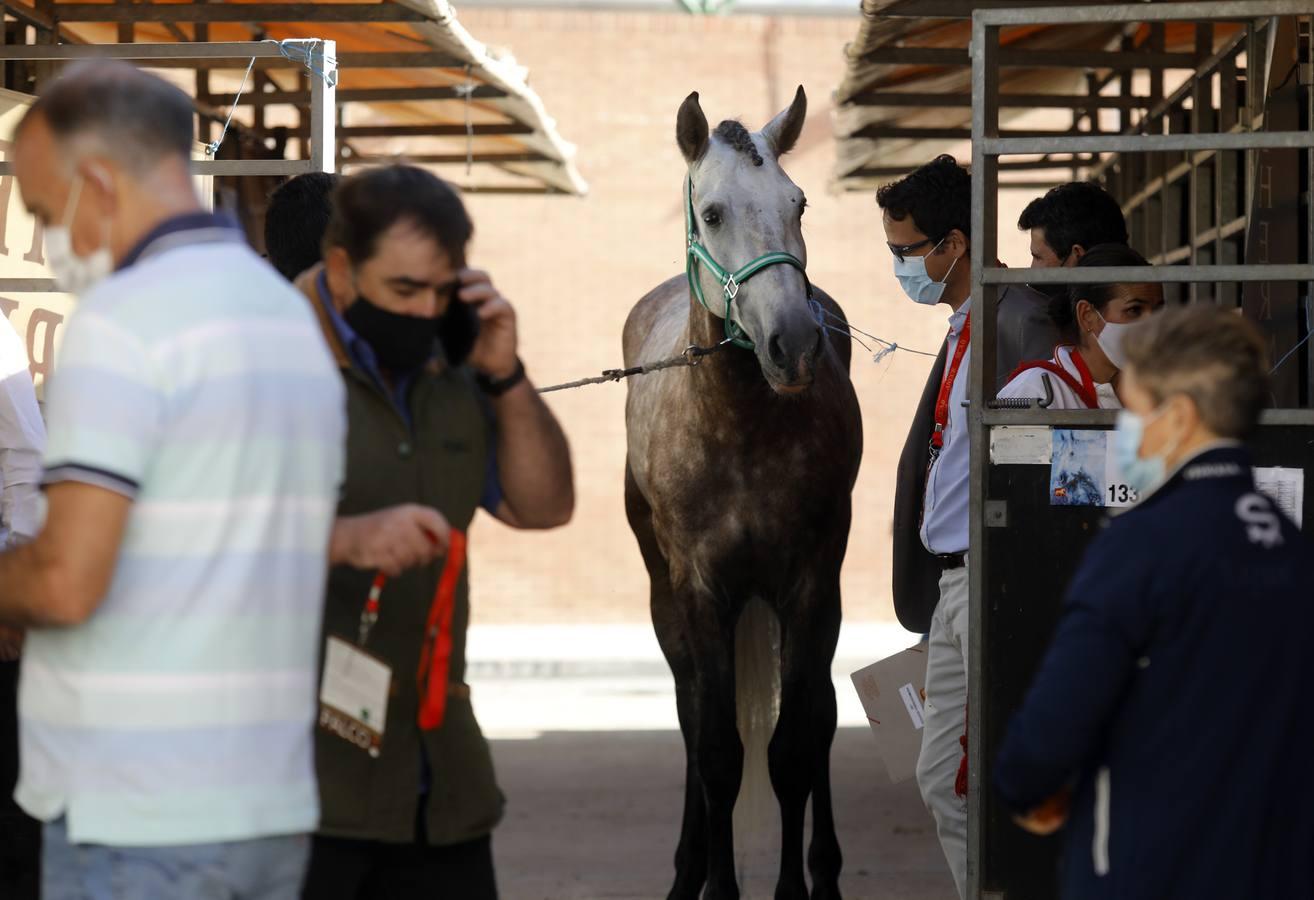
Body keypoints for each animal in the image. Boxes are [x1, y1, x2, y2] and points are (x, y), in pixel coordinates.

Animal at [622, 86, 861, 898]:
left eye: (799, 202)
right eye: (715, 212)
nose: (795, 343)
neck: (740, 427)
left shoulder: (810, 583)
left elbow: (793, 748)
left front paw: (796, 886)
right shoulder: (699, 590)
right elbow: (720, 754)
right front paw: (716, 884)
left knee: (819, 715)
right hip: (669, 605)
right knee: (694, 719)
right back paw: (686, 870)